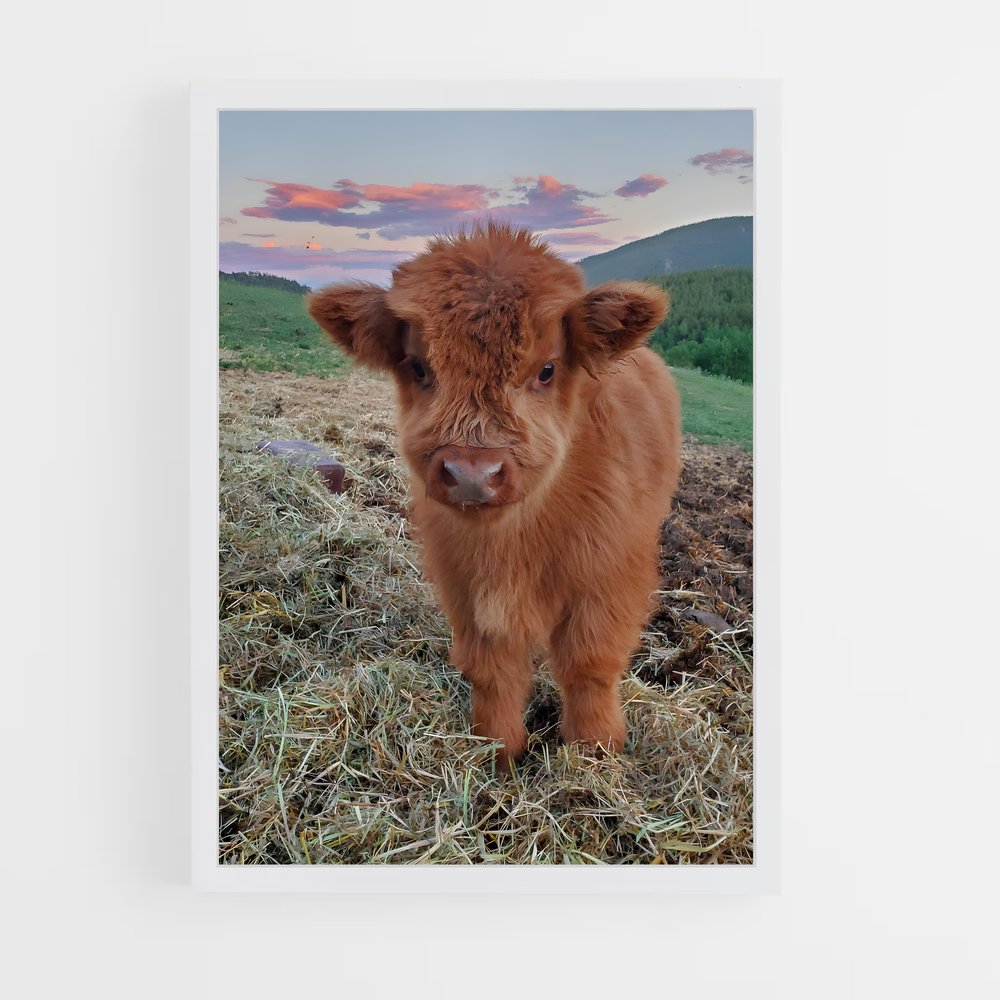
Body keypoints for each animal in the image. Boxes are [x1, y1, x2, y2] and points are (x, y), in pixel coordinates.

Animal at [307, 223, 681, 770]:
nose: (471, 474)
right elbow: (492, 668)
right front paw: (497, 752)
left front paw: (595, 752)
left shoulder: (609, 577)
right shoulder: (464, 583)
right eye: (418, 366)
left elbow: (589, 662)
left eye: (547, 369)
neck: (516, 541)